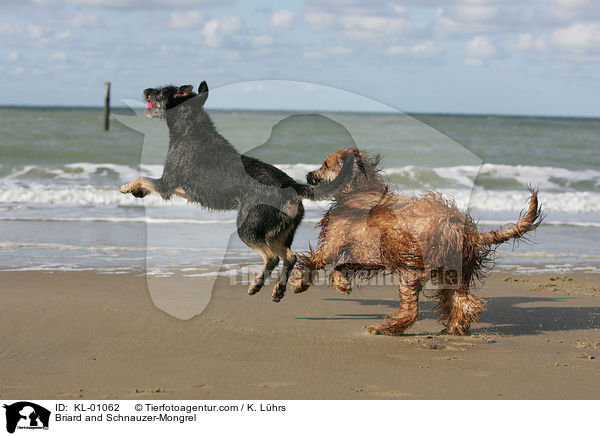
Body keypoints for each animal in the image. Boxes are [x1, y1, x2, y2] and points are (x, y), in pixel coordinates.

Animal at [290, 148, 544, 336]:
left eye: (324, 164)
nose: (307, 175)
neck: (356, 191)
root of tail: (467, 233)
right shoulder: (369, 256)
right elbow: (341, 266)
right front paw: (342, 283)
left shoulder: (333, 244)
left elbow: (314, 261)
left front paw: (299, 283)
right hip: (453, 273)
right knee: (464, 301)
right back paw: (455, 326)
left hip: (411, 271)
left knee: (412, 312)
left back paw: (385, 328)